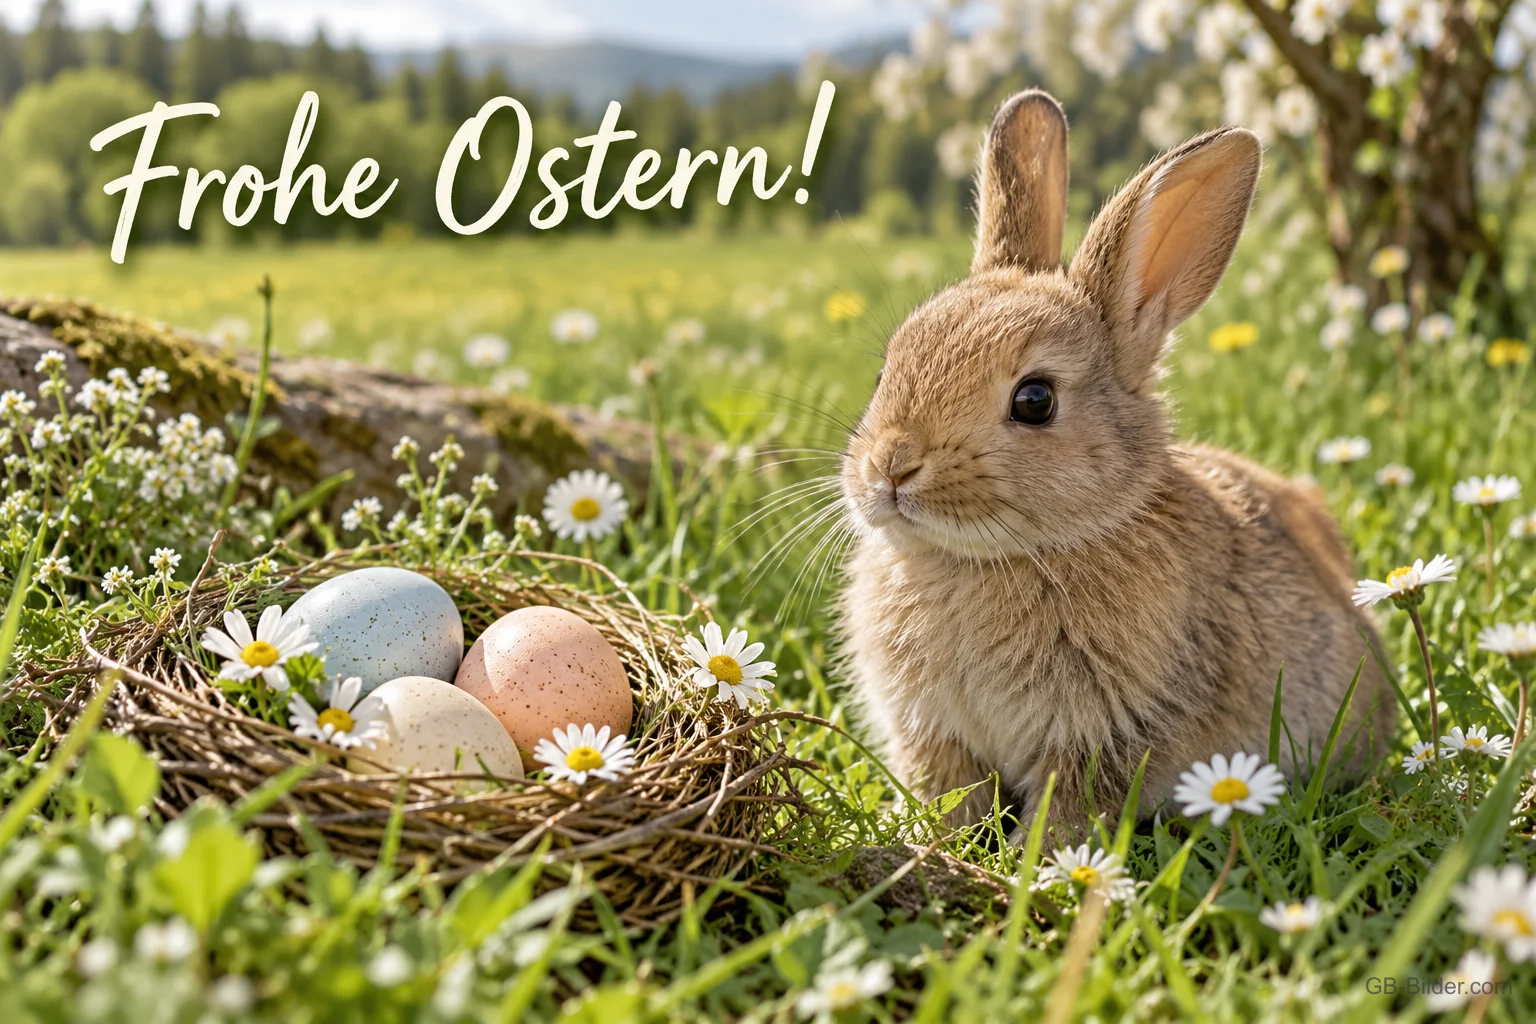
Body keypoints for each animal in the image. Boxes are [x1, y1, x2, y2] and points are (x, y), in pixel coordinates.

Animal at [836, 89, 1395, 836]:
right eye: (883, 373)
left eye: (1035, 400)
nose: (891, 469)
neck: (987, 559)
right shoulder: (934, 733)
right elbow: (949, 792)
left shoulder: (1108, 730)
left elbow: (1070, 808)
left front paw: (1035, 858)